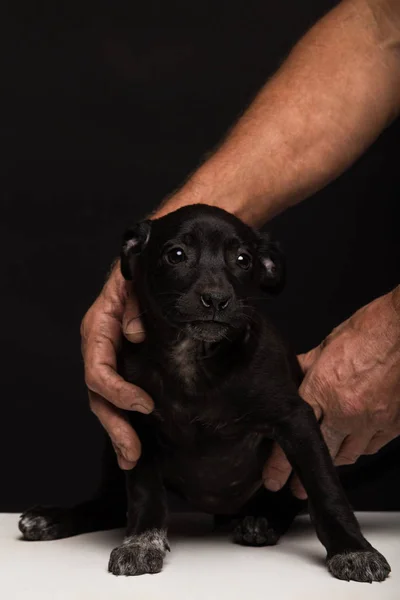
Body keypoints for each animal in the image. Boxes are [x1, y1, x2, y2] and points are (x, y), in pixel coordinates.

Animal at [19, 205, 390, 580]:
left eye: (243, 260)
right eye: (176, 255)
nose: (216, 299)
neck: (192, 355)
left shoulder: (297, 418)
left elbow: (325, 490)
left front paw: (353, 549)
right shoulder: (137, 424)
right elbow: (145, 492)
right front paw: (142, 542)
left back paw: (263, 520)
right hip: (115, 450)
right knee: (110, 505)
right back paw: (52, 518)